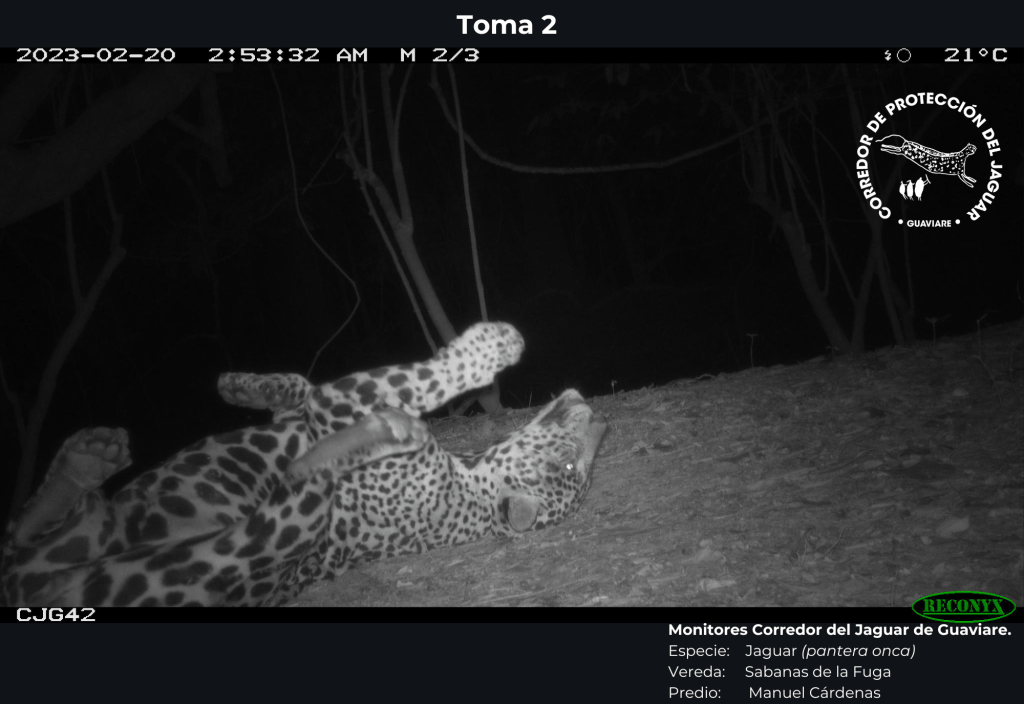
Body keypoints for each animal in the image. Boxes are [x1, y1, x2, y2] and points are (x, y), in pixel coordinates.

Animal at [1, 322, 608, 607]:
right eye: (570, 469)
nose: (601, 421)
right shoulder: (306, 412)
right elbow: (295, 385)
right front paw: (240, 384)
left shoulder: (335, 409)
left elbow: (406, 382)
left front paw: (489, 350)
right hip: (77, 534)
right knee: (24, 526)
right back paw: (88, 457)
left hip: (247, 544)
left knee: (291, 501)